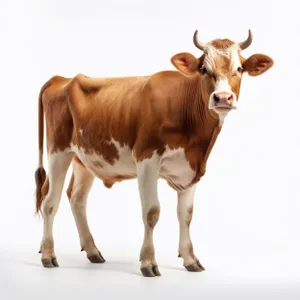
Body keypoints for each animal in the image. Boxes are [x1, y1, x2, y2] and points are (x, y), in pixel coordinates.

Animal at [34, 29, 274, 276]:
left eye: (239, 69)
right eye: (203, 69)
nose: (223, 98)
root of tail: (62, 79)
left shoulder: (191, 167)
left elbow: (186, 215)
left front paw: (190, 259)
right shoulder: (147, 160)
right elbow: (151, 212)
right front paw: (148, 262)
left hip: (86, 157)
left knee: (77, 198)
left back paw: (92, 251)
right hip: (58, 151)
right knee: (49, 201)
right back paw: (48, 255)